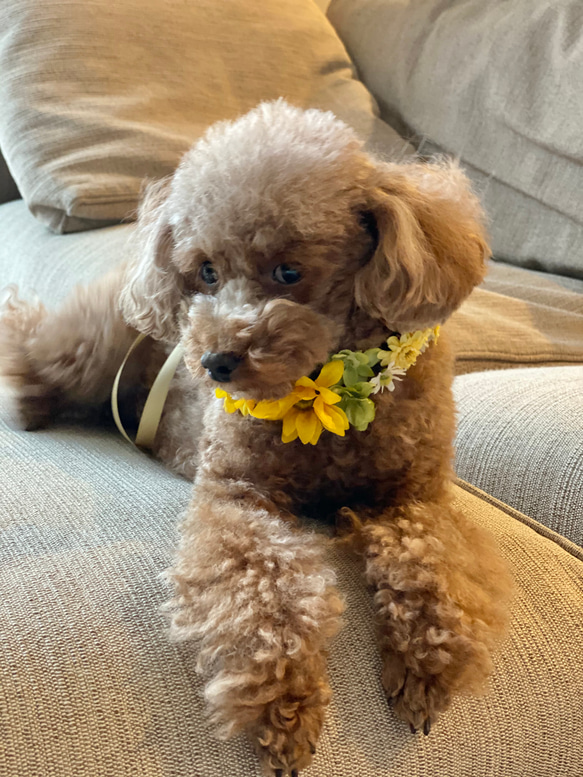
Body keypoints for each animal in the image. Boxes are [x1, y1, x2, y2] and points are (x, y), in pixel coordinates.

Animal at [0, 103, 512, 776]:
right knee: (32, 344)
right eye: (206, 272)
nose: (214, 362)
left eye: (289, 272)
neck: (324, 398)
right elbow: (263, 591)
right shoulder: (237, 493)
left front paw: (426, 665)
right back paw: (24, 398)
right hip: (93, 342)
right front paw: (283, 705)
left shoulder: (416, 495)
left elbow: (434, 565)